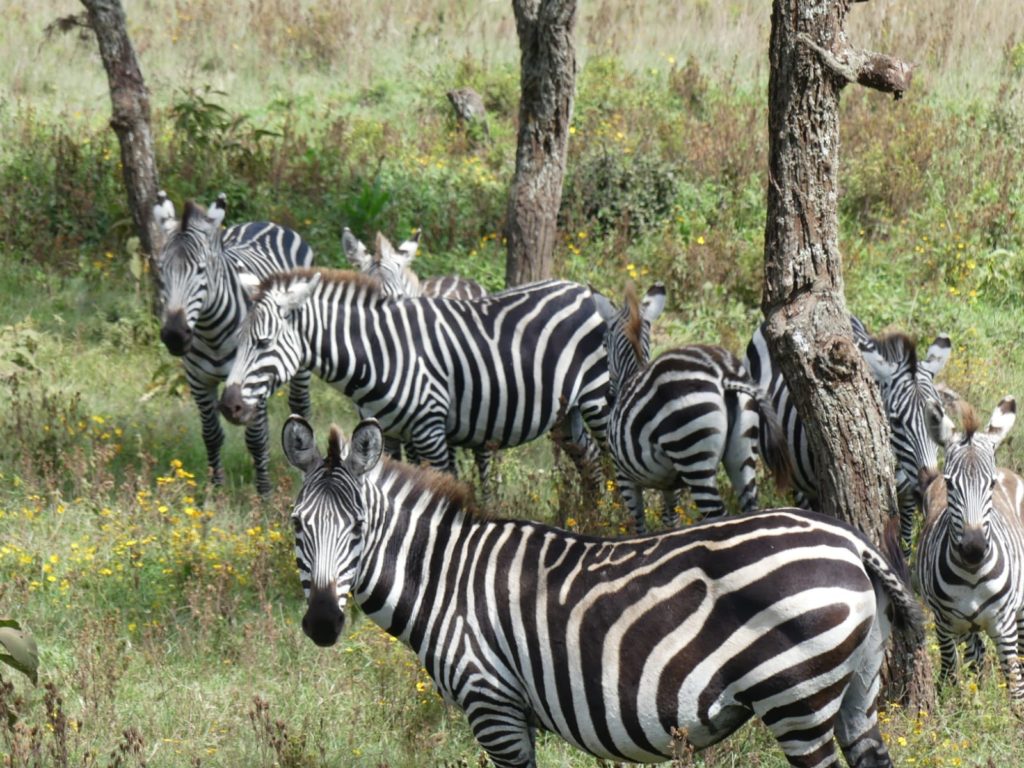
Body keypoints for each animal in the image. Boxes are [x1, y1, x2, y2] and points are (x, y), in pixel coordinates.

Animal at [278, 415, 921, 768]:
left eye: (358, 528)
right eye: (296, 525)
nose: (321, 625)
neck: (446, 580)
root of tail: (850, 541)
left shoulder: (494, 705)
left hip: (796, 698)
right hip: (856, 688)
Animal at [598, 286, 790, 532]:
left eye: (604, 344)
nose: (609, 397)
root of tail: (723, 374)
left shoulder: (624, 477)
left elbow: (638, 524)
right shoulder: (671, 483)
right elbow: (671, 519)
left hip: (692, 451)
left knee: (717, 515)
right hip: (743, 451)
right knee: (749, 506)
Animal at [913, 397, 1024, 704]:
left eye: (992, 484)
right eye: (950, 483)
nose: (973, 550)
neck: (973, 575)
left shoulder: (1004, 626)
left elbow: (1015, 687)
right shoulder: (944, 624)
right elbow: (951, 673)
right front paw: (959, 709)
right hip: (965, 627)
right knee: (977, 658)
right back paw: (976, 699)